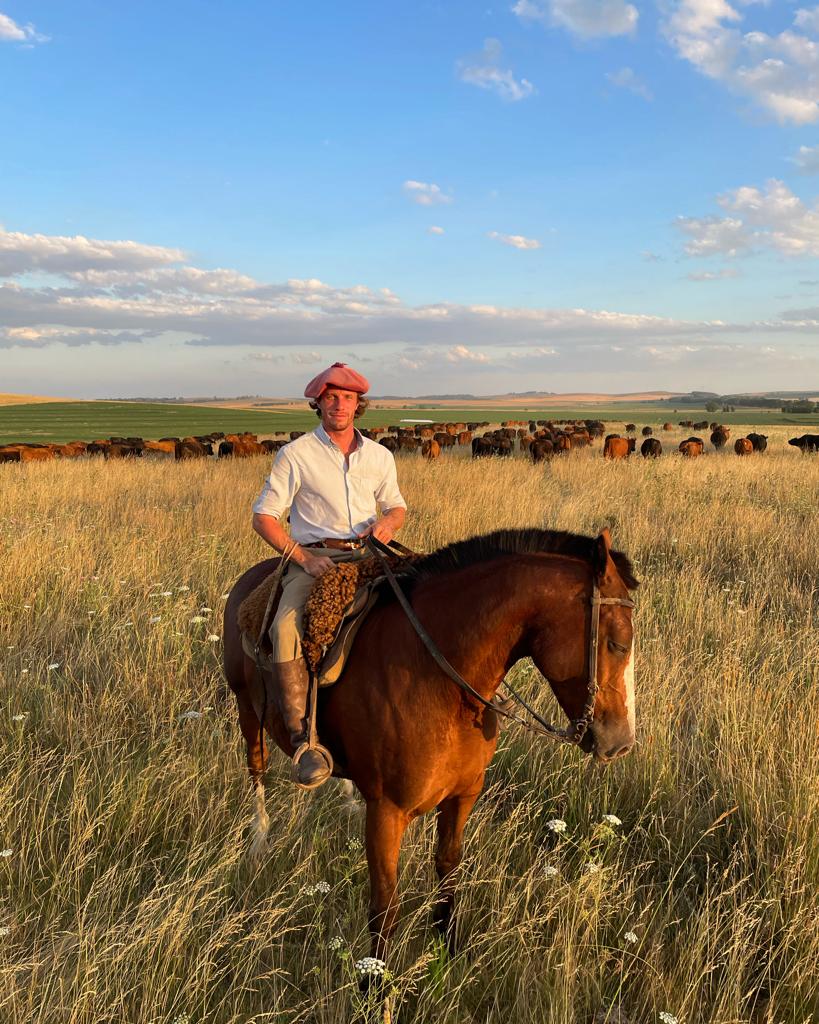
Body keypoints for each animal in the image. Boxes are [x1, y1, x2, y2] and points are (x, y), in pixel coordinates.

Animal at [222, 528, 638, 958]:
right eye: (618, 644)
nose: (621, 743)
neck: (441, 680)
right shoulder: (386, 812)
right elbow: (385, 905)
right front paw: (376, 975)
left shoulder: (463, 795)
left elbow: (447, 869)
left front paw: (448, 947)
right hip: (246, 709)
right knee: (257, 770)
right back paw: (259, 839)